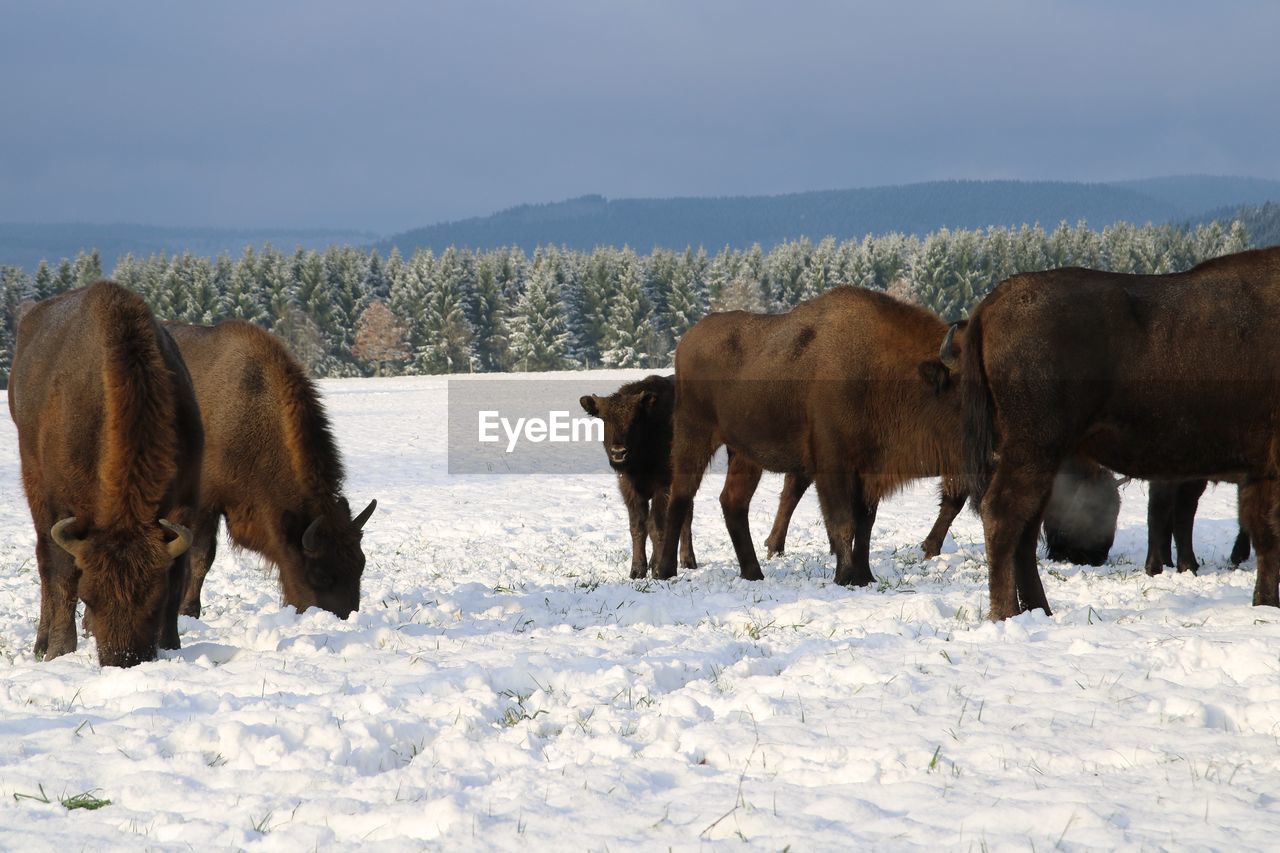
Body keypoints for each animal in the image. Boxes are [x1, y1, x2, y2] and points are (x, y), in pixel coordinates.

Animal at [6, 281, 202, 666]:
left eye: (152, 601)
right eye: (91, 596)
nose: (123, 659)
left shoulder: (184, 502)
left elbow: (178, 574)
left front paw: (171, 643)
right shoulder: (61, 505)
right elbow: (63, 574)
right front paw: (59, 649)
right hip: (33, 480)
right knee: (44, 561)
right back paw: (42, 643)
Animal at [165, 318, 373, 617]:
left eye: (361, 564)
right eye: (319, 574)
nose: (344, 617)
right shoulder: (205, 505)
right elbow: (201, 556)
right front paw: (189, 610)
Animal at [957, 245, 1280, 617]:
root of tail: (996, 299)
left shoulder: (1260, 469)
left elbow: (1264, 533)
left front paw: (1265, 603)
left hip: (1043, 456)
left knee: (1025, 529)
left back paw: (1040, 611)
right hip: (1034, 447)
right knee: (1003, 515)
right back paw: (1006, 613)